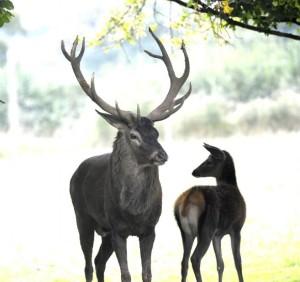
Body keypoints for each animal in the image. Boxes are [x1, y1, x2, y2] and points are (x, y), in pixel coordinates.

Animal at [175, 144, 245, 280]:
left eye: (209, 162)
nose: (194, 171)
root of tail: (186, 202)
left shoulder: (217, 235)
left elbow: (220, 264)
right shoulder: (236, 228)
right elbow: (237, 261)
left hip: (186, 233)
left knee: (184, 262)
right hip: (206, 229)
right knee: (195, 258)